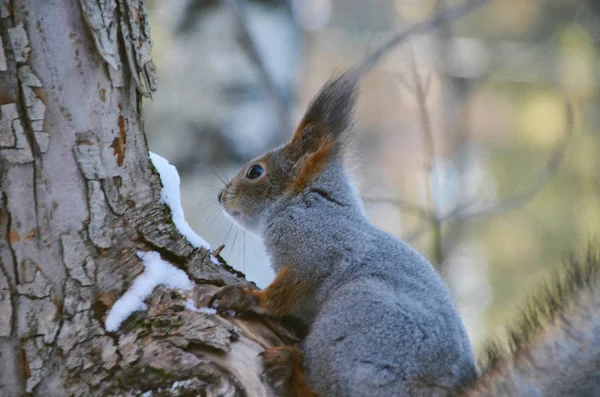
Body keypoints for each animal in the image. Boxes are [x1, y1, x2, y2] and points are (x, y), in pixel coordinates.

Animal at [211, 72, 478, 396]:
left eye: (255, 172)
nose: (220, 196)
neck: (303, 201)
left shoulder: (314, 250)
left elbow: (282, 294)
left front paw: (247, 297)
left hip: (354, 319)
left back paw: (288, 370)